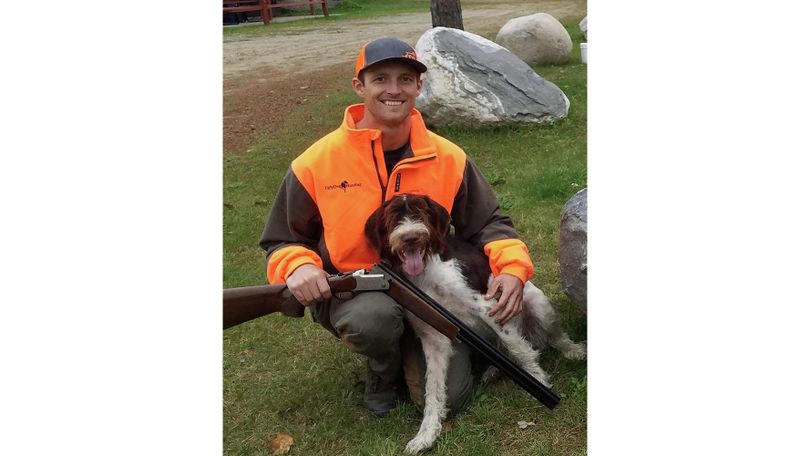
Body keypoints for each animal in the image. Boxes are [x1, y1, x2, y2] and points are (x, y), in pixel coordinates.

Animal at [362, 194, 584, 454]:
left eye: (421, 214)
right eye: (393, 218)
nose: (411, 237)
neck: (426, 273)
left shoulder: (488, 308)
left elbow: (522, 352)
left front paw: (540, 383)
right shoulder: (433, 338)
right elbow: (433, 389)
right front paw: (426, 434)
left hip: (539, 305)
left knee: (550, 339)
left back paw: (574, 350)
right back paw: (493, 371)